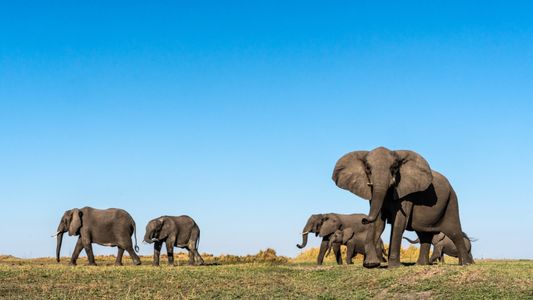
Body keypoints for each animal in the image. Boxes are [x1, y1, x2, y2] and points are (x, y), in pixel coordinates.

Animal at [332, 146, 474, 268]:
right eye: (367, 168)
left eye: (395, 167)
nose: (364, 219)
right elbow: (379, 223)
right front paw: (371, 265)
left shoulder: (407, 194)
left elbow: (399, 222)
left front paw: (393, 267)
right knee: (424, 234)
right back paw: (420, 265)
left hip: (451, 201)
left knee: (454, 231)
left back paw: (465, 264)